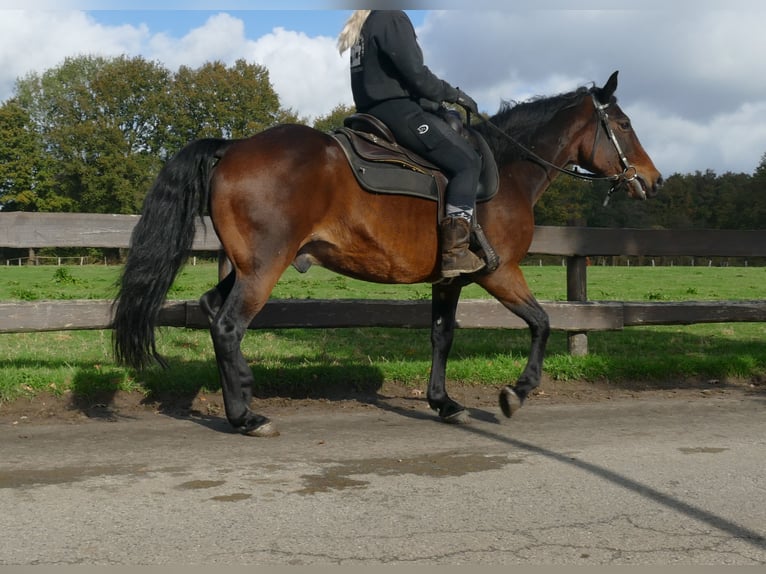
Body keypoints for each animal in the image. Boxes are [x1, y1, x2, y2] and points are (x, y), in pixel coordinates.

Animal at [111, 71, 664, 436]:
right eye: (624, 124)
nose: (653, 180)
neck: (506, 171)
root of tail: (234, 145)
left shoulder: (449, 280)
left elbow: (442, 337)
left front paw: (444, 403)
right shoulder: (499, 273)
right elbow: (543, 323)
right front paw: (516, 393)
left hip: (248, 265)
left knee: (211, 309)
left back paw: (236, 404)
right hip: (264, 268)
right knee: (228, 325)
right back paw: (246, 414)